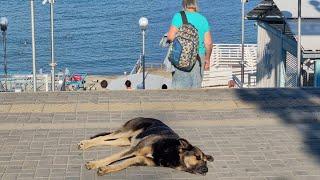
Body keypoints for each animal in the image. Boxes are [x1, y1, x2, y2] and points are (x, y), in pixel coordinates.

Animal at [78, 116, 214, 176]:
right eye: (197, 157)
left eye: (206, 162)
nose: (206, 170)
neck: (172, 152)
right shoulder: (135, 149)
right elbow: (113, 157)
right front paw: (94, 164)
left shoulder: (141, 158)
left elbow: (123, 164)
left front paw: (106, 169)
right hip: (127, 132)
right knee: (104, 137)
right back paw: (86, 143)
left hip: (126, 140)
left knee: (107, 140)